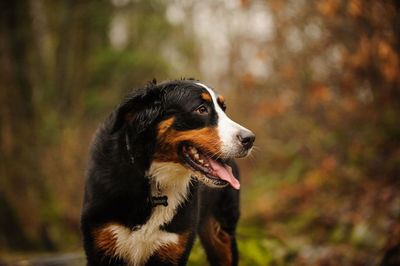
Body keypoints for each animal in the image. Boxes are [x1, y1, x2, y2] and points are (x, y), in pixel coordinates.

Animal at [81, 79, 255, 266]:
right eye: (201, 109)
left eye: (224, 109)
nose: (250, 139)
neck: (155, 179)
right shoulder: (103, 241)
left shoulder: (174, 246)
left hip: (222, 238)